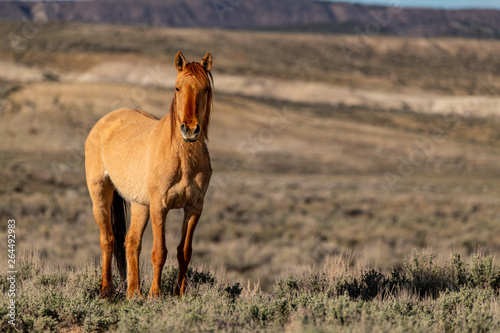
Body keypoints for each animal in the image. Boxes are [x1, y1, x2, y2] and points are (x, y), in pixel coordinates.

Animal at [84, 52, 213, 298]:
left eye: (205, 89)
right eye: (177, 88)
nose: (190, 129)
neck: (182, 158)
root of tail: (105, 120)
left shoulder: (195, 207)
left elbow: (184, 251)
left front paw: (179, 293)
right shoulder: (159, 206)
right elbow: (159, 251)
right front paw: (155, 293)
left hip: (139, 205)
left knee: (131, 242)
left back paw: (134, 293)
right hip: (100, 193)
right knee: (107, 239)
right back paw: (107, 289)